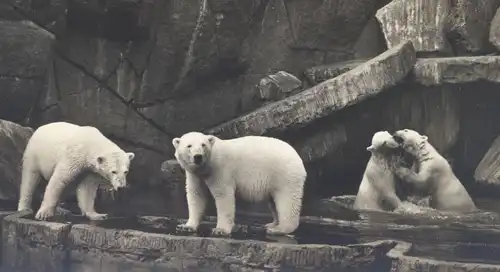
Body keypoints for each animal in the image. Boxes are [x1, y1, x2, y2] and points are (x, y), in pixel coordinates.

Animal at [172, 132, 306, 236]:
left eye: (203, 145)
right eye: (189, 145)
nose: (198, 156)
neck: (206, 167)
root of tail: (298, 157)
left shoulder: (220, 170)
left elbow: (223, 196)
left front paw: (220, 230)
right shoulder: (195, 176)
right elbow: (196, 196)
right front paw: (186, 226)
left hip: (284, 175)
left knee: (287, 201)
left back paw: (279, 229)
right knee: (273, 201)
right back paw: (271, 224)